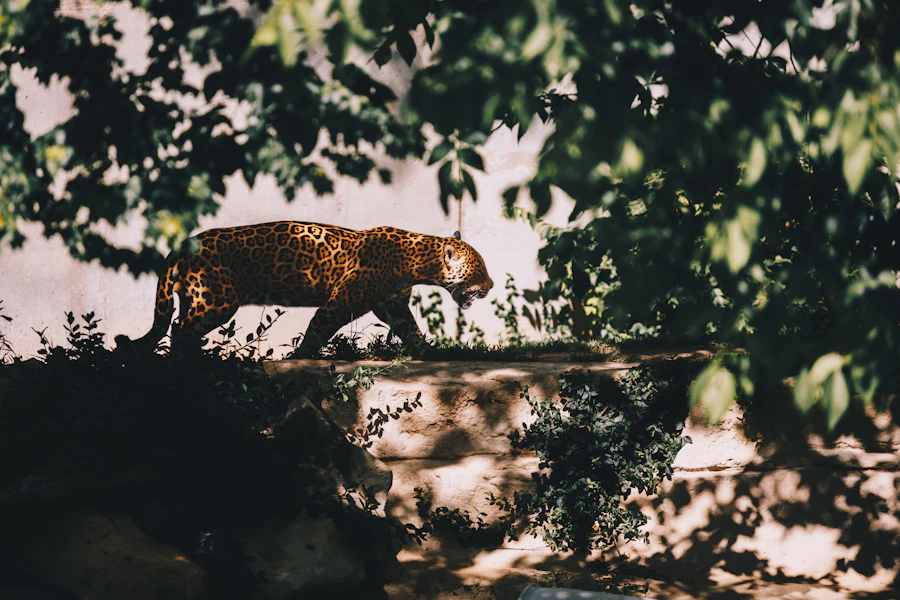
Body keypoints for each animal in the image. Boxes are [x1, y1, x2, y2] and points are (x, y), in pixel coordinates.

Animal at [115, 221, 494, 356]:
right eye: (480, 268)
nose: (490, 286)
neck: (417, 261)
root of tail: (184, 244)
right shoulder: (342, 302)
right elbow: (318, 329)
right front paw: (299, 357)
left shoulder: (393, 306)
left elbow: (411, 330)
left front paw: (429, 350)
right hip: (216, 300)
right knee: (180, 329)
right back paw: (190, 362)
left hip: (196, 297)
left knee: (179, 325)